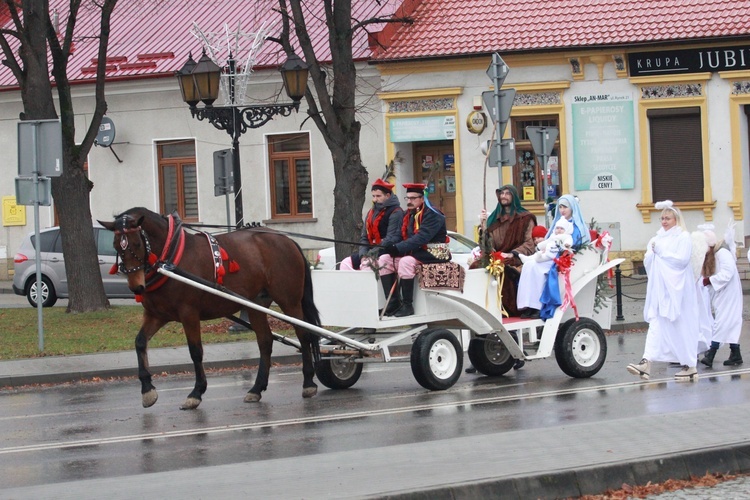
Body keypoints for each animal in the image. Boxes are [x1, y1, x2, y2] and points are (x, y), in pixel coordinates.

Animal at [100, 207, 320, 410]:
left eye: (137, 243)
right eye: (116, 246)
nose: (136, 287)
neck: (169, 257)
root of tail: (287, 240)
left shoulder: (189, 313)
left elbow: (195, 351)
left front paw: (196, 392)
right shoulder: (156, 314)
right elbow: (140, 343)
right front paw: (147, 389)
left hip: (289, 300)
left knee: (304, 335)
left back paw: (308, 382)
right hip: (256, 304)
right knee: (265, 341)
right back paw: (257, 388)